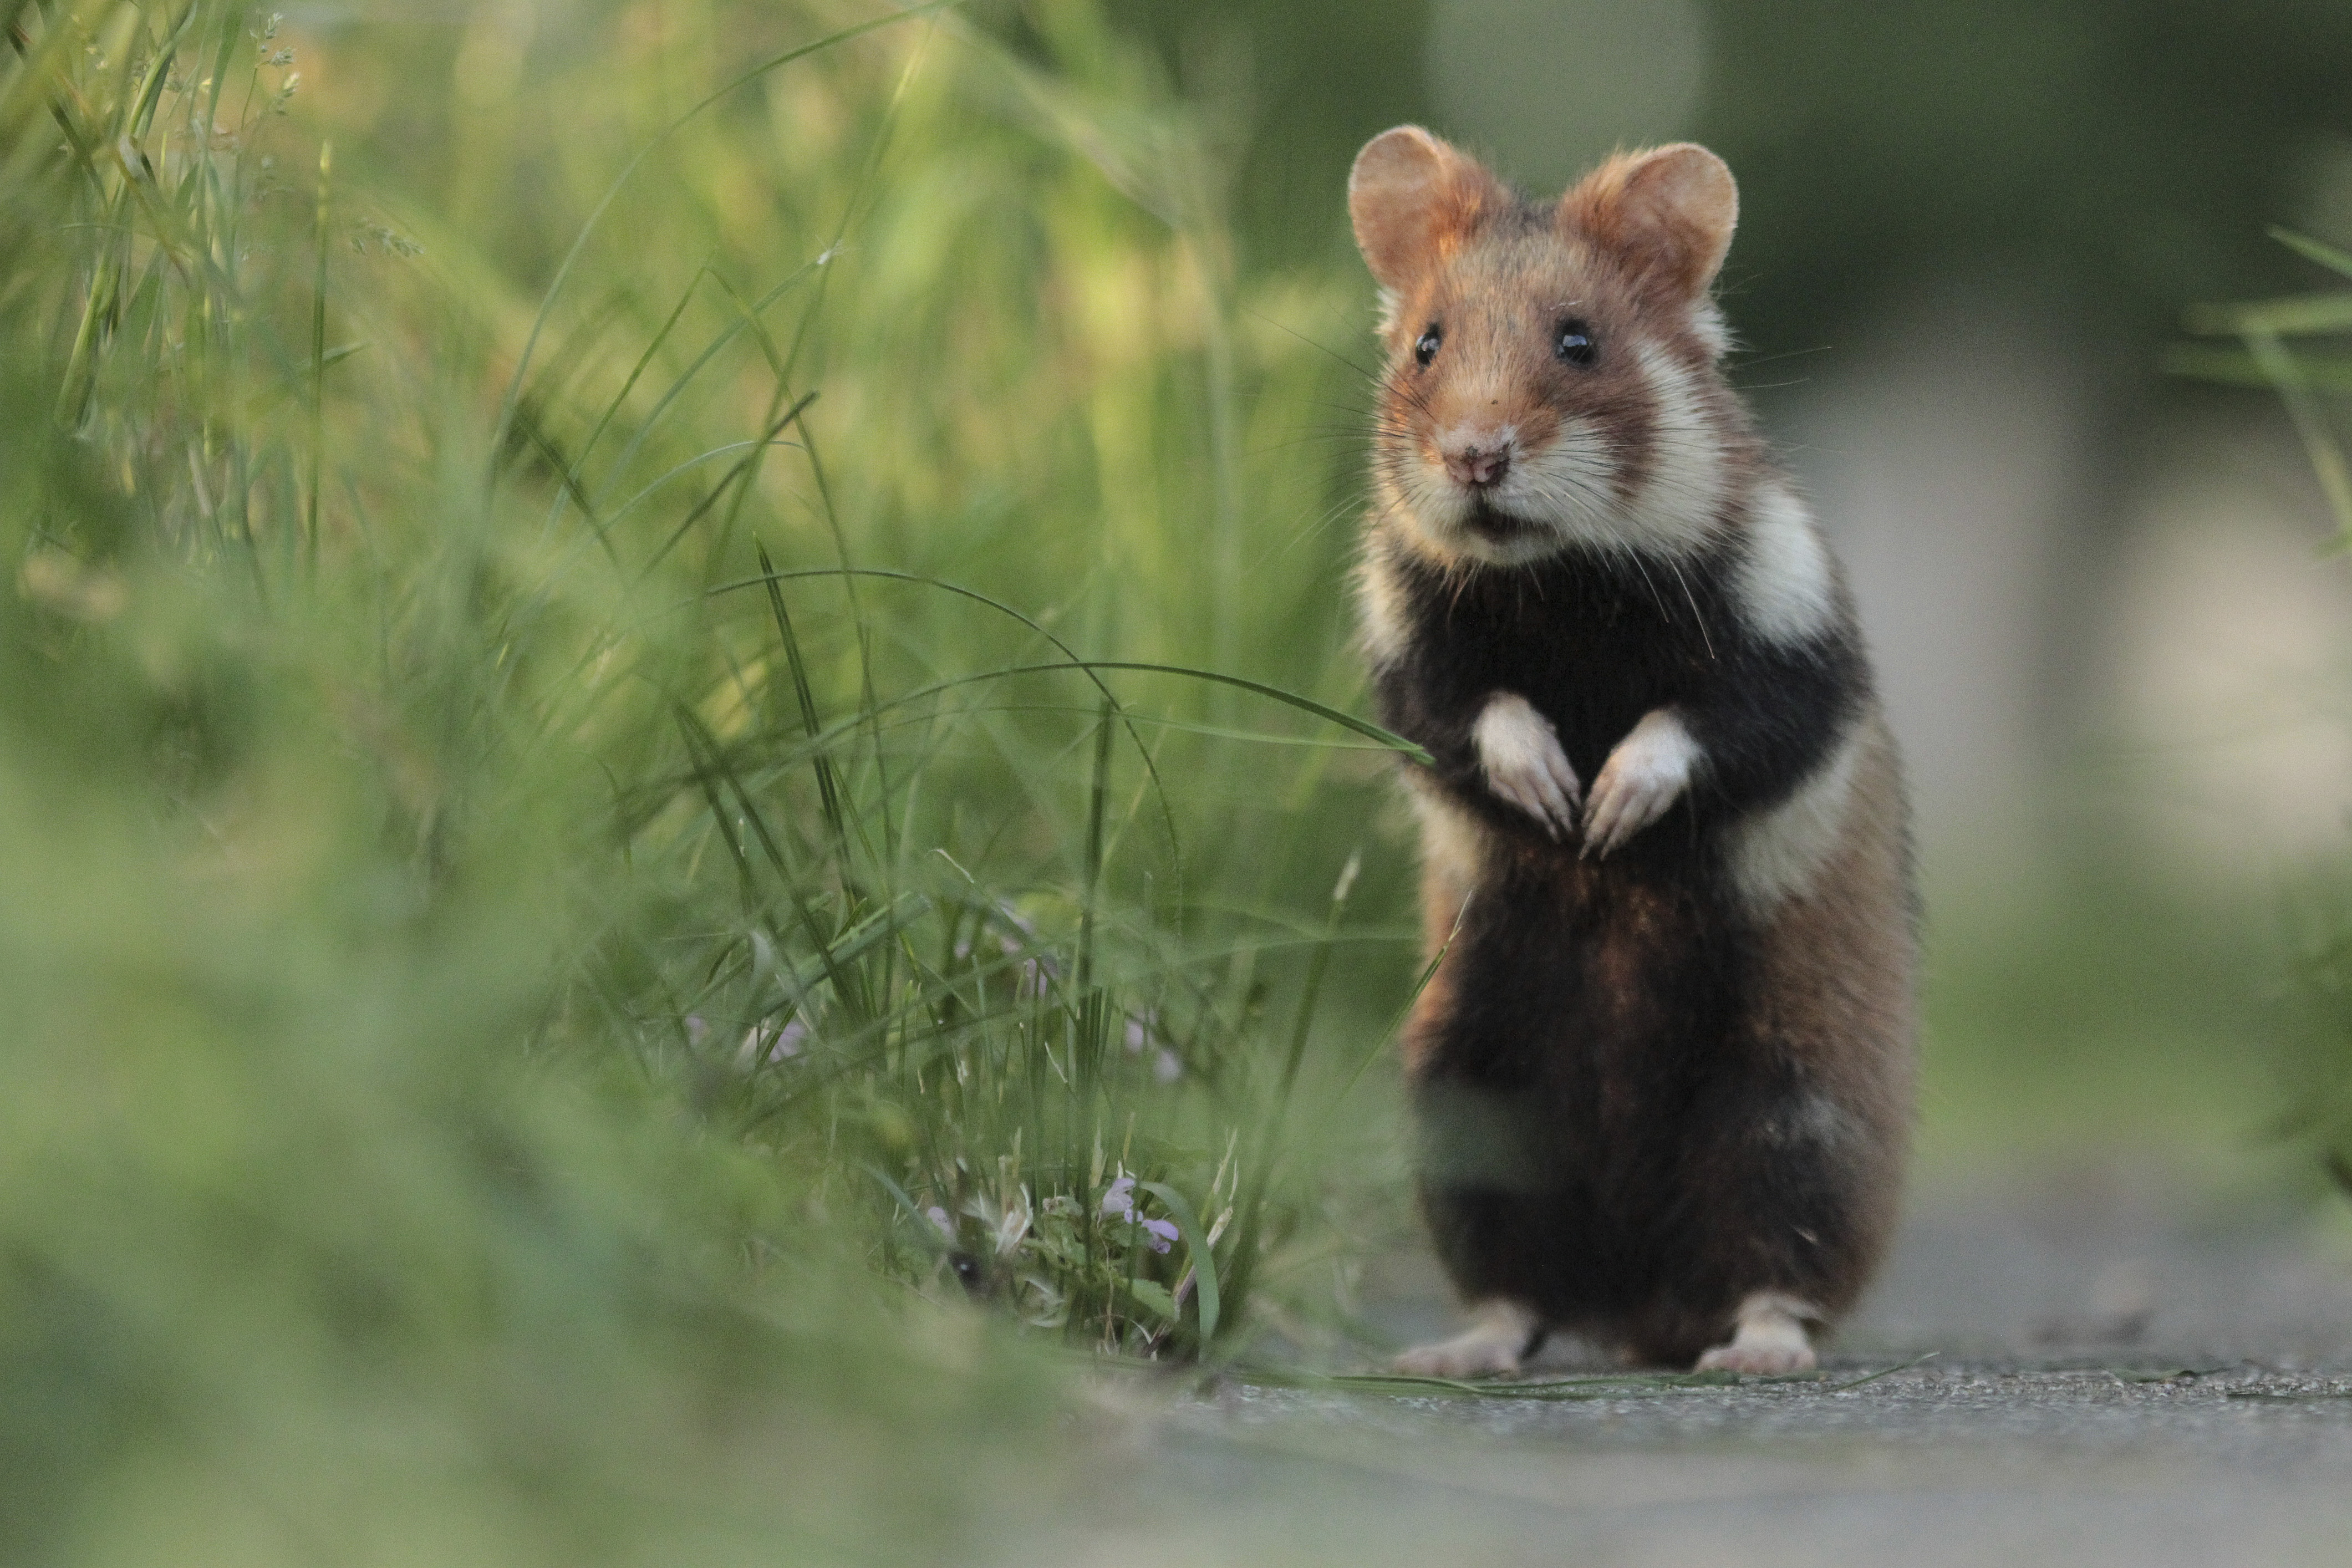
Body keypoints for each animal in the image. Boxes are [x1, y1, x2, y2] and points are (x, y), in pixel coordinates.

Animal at [1355, 125, 1919, 1373]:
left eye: (1579, 340)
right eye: (1426, 343)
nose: (1474, 457)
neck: (1560, 580)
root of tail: (1642, 1303)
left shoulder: (1792, 645)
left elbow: (1701, 727)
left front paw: (1603, 812)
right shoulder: (1405, 657)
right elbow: (1473, 713)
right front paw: (1552, 797)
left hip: (1799, 1102)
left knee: (1780, 1257)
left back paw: (1754, 1350)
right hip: (1461, 1095)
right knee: (1519, 1286)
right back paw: (1453, 1352)